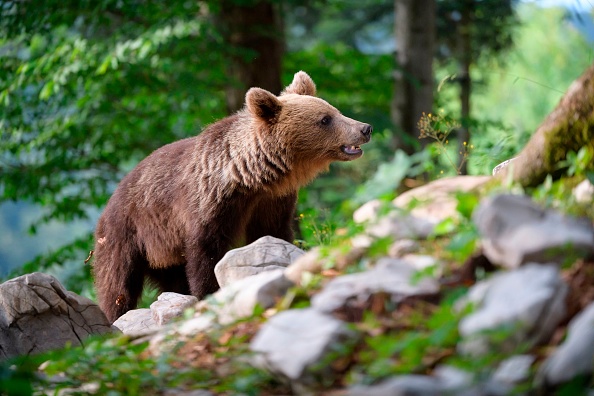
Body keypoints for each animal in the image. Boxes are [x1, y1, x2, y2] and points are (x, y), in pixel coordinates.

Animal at [92, 71, 370, 322]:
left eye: (334, 110)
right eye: (325, 119)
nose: (365, 128)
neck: (249, 177)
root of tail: (109, 203)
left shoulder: (272, 202)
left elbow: (273, 234)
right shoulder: (209, 203)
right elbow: (206, 252)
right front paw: (208, 293)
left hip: (164, 251)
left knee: (171, 281)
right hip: (129, 234)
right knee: (117, 283)